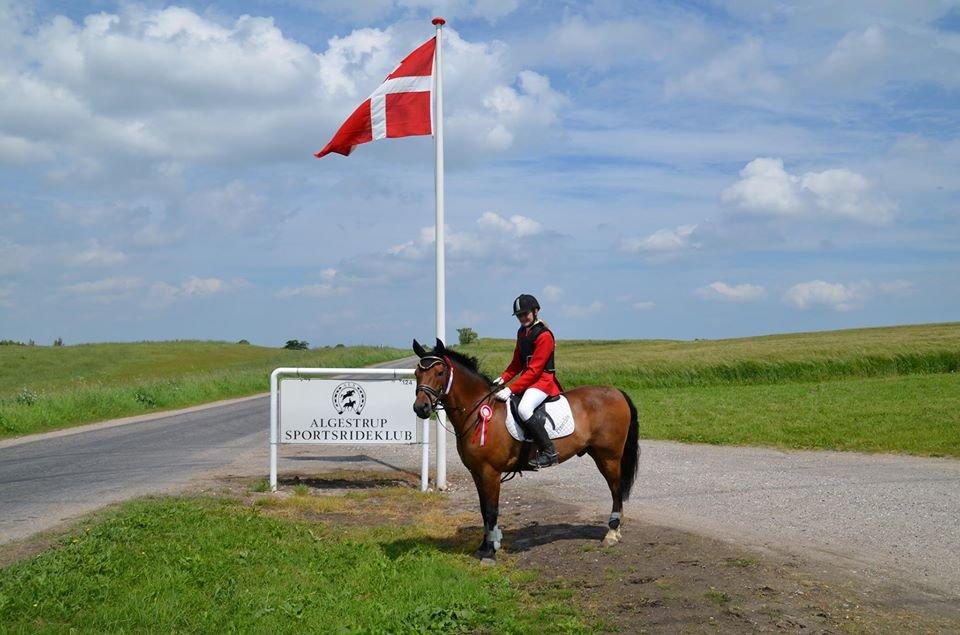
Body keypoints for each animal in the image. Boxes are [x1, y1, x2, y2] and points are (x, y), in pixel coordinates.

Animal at [410, 340, 640, 564]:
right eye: (417, 373)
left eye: (440, 372)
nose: (420, 408)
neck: (478, 413)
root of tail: (617, 392)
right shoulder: (477, 473)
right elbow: (484, 510)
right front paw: (484, 547)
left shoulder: (490, 473)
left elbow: (492, 510)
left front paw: (490, 553)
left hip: (609, 457)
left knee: (616, 490)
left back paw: (611, 534)